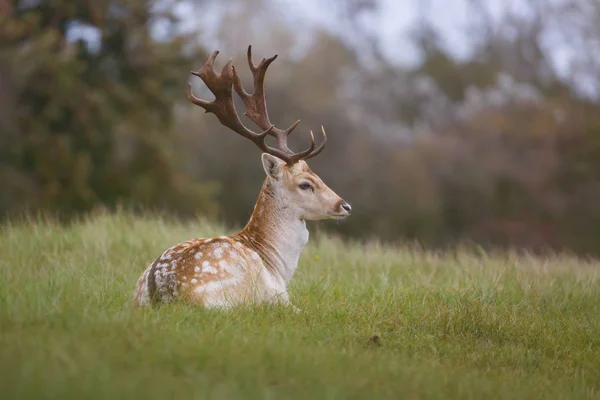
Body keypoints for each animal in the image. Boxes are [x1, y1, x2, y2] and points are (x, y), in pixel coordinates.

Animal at [135, 46, 352, 310]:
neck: (276, 267)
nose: (345, 205)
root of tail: (162, 293)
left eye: (317, 175)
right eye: (305, 184)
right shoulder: (279, 297)